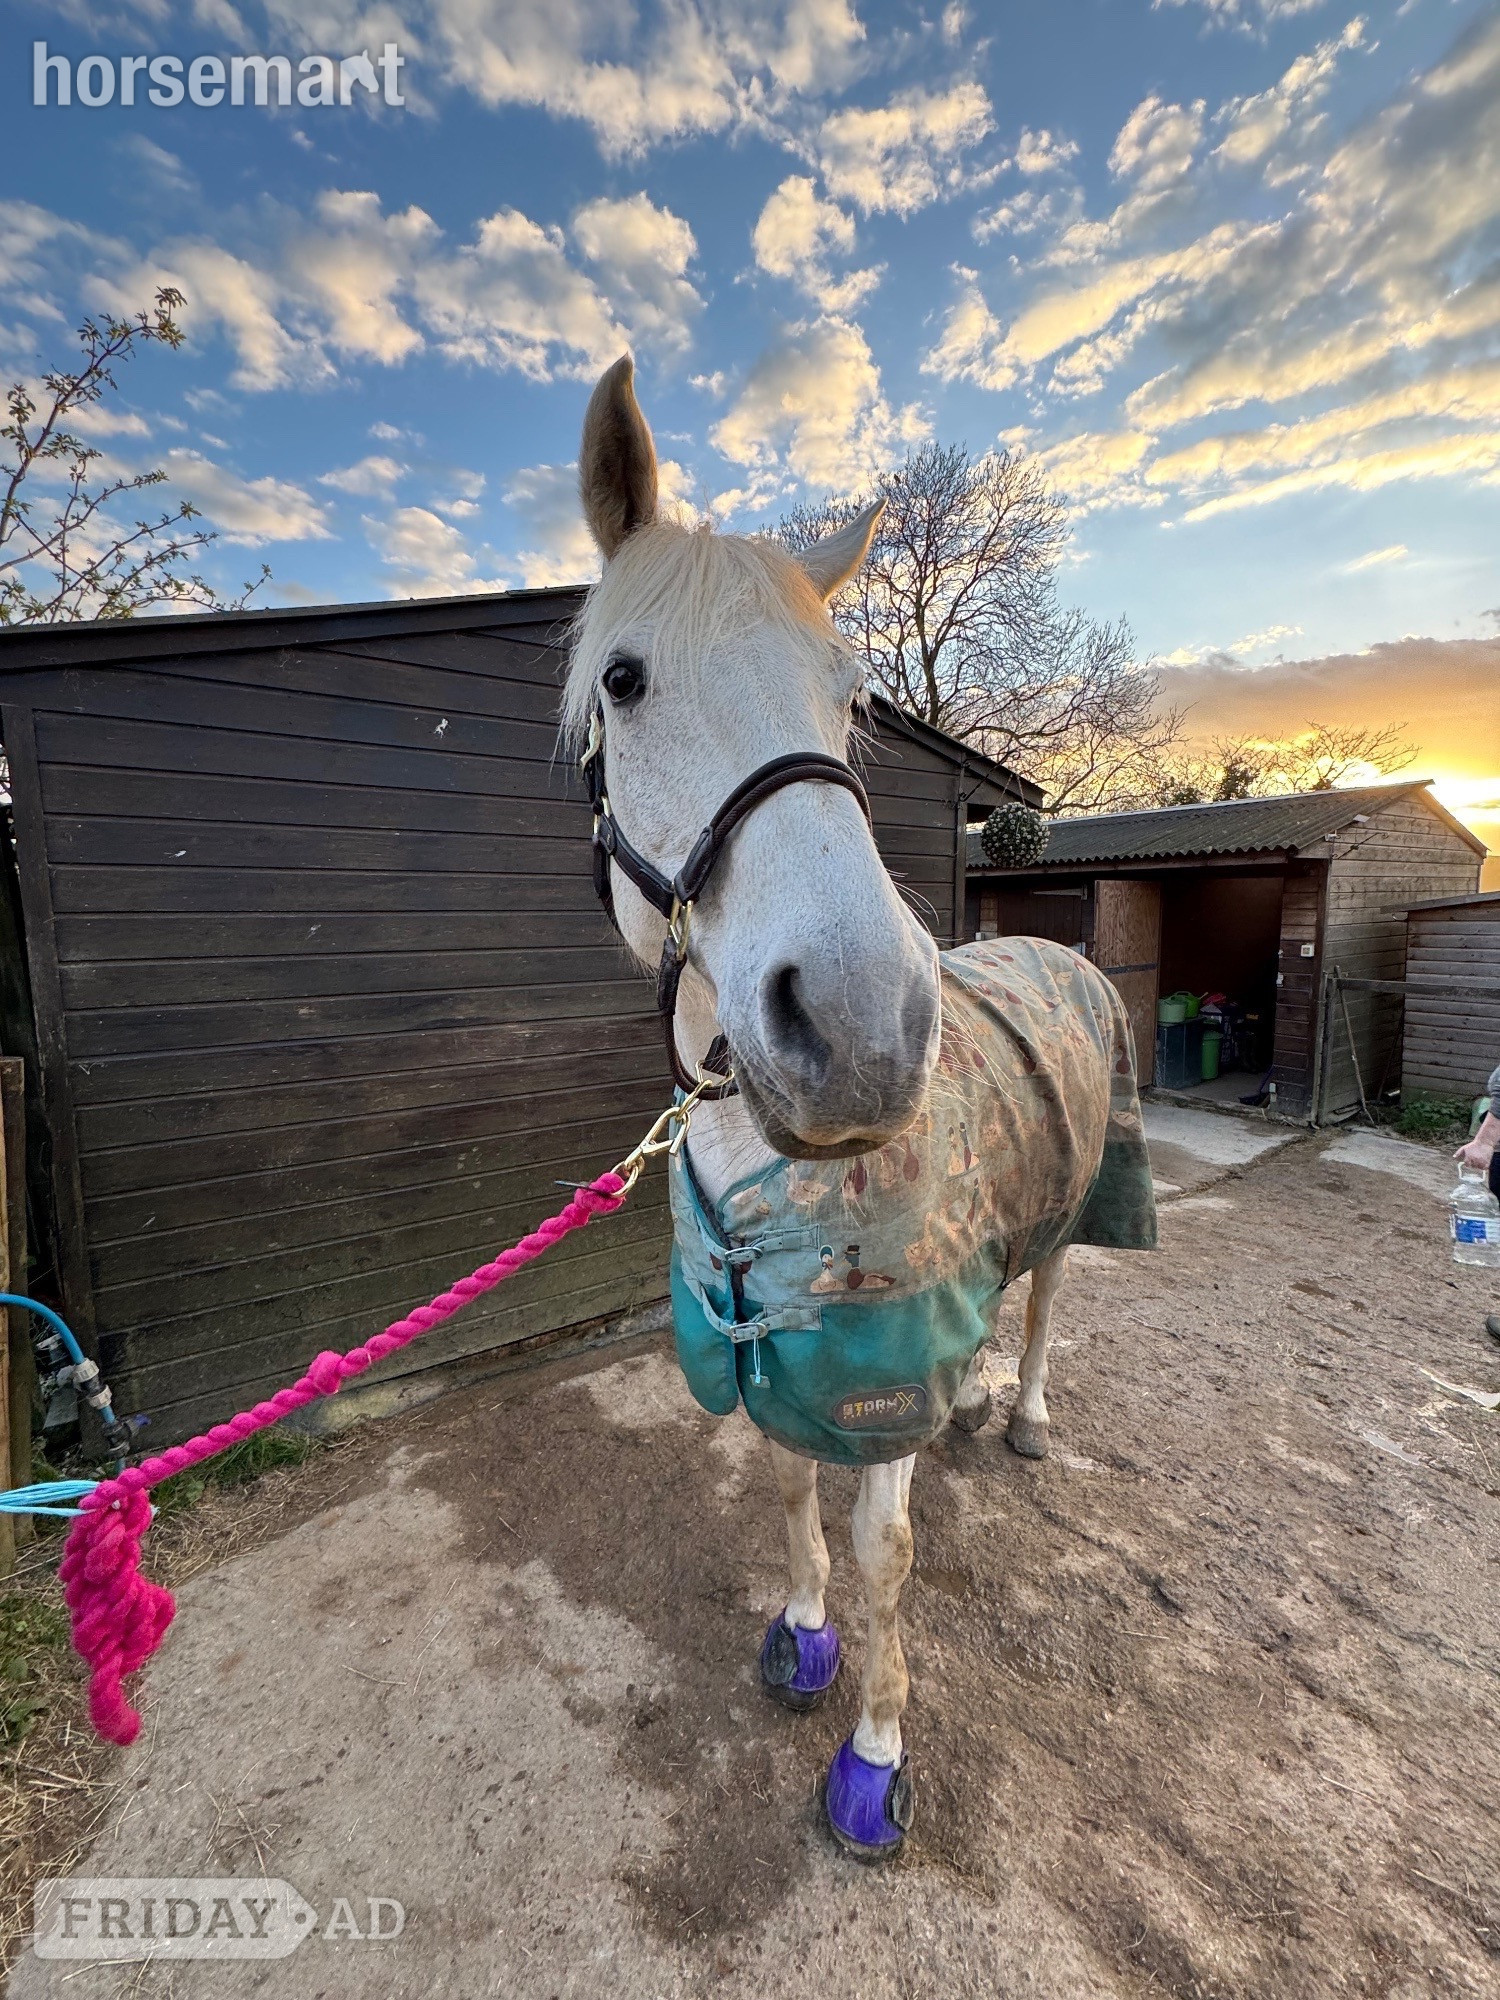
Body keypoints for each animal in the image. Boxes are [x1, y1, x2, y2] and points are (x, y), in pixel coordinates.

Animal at [564, 354, 1157, 1860]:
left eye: (851, 698)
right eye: (624, 678)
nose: (861, 1030)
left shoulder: (881, 1368)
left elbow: (890, 1552)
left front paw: (875, 1754)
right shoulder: (768, 1349)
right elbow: (789, 1492)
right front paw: (804, 1634)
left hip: (1082, 1202)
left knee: (1049, 1302)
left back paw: (1023, 1413)